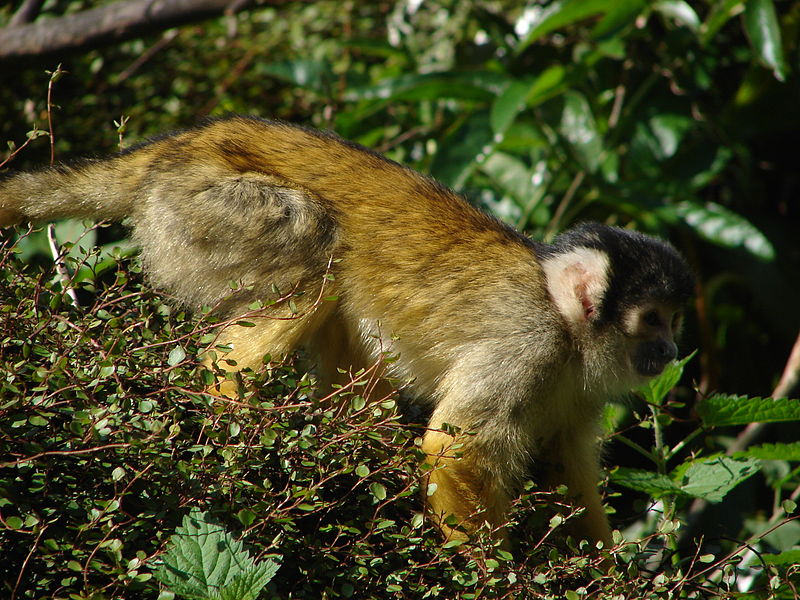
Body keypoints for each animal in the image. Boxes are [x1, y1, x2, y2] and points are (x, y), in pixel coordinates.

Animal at [0, 116, 692, 548]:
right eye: (652, 320)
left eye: (674, 320)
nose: (669, 350)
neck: (571, 334)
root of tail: (176, 146)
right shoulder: (527, 343)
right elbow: (456, 447)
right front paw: (486, 570)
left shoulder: (580, 391)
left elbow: (563, 469)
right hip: (199, 206)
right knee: (314, 236)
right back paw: (231, 409)